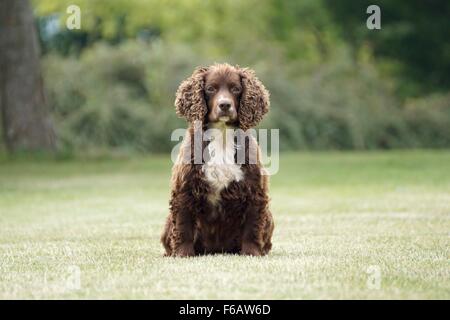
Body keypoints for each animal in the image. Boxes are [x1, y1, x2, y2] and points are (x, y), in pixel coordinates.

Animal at [162, 63, 274, 256]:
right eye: (210, 89)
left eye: (236, 89)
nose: (225, 105)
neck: (222, 136)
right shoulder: (185, 188)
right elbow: (183, 226)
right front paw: (183, 254)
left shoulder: (254, 191)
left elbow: (252, 227)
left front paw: (251, 253)